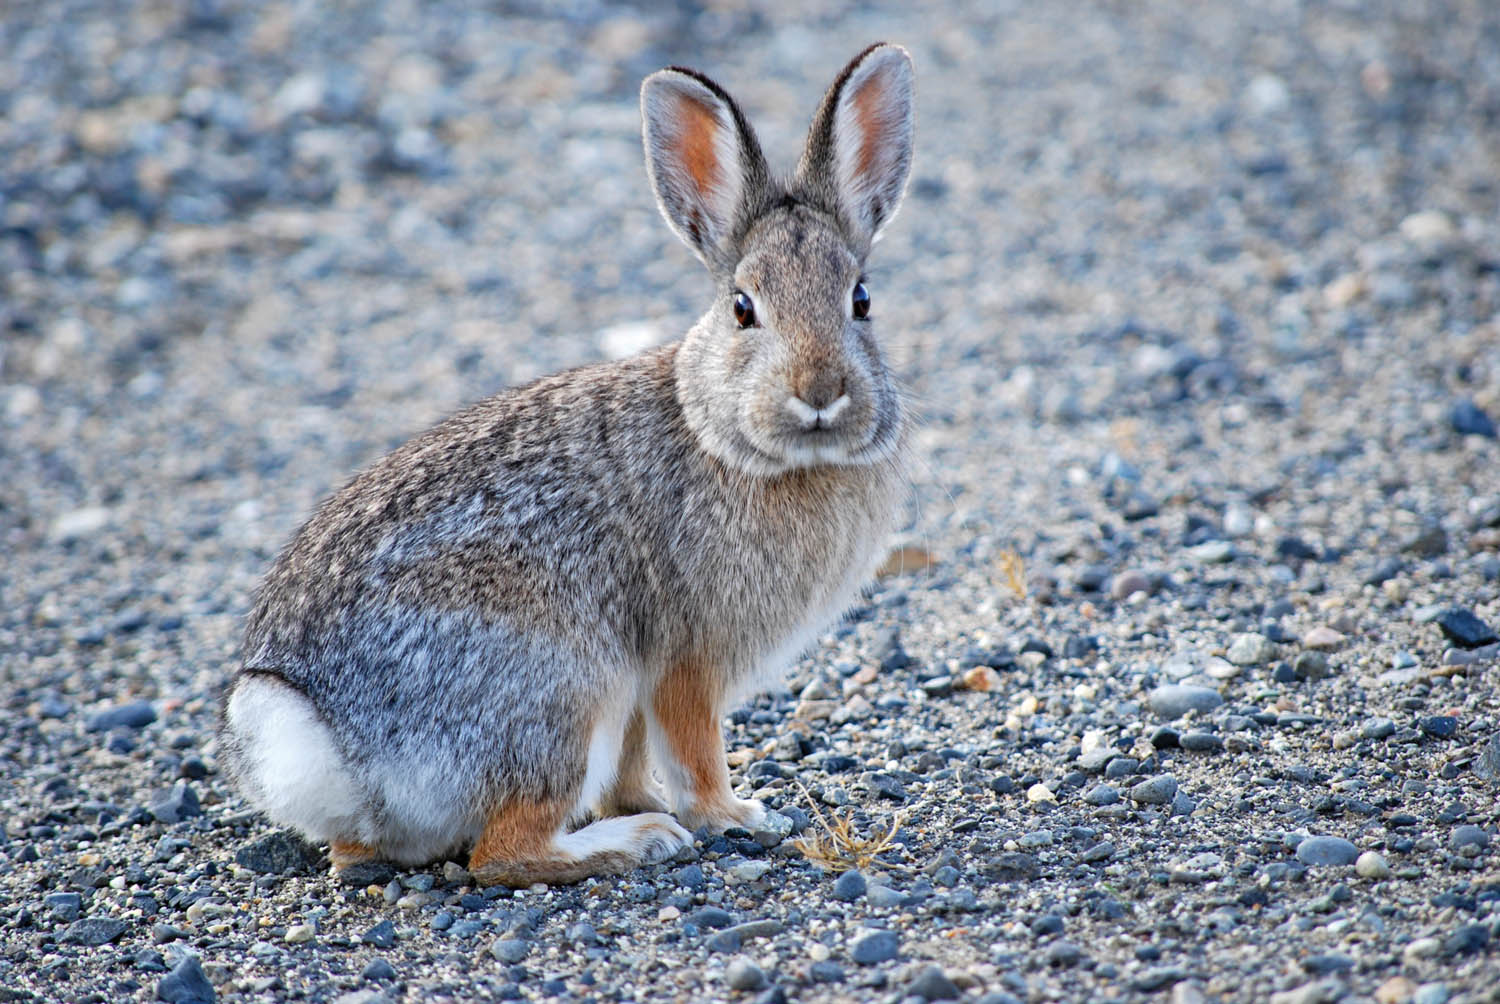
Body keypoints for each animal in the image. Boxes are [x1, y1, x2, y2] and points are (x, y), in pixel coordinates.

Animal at [218, 42, 916, 887]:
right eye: (744, 308)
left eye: (862, 300)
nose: (819, 393)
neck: (728, 437)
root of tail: (328, 742)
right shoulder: (685, 656)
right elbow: (694, 747)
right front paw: (734, 814)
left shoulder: (645, 691)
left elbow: (636, 761)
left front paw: (650, 800)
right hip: (565, 688)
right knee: (502, 852)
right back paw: (639, 841)